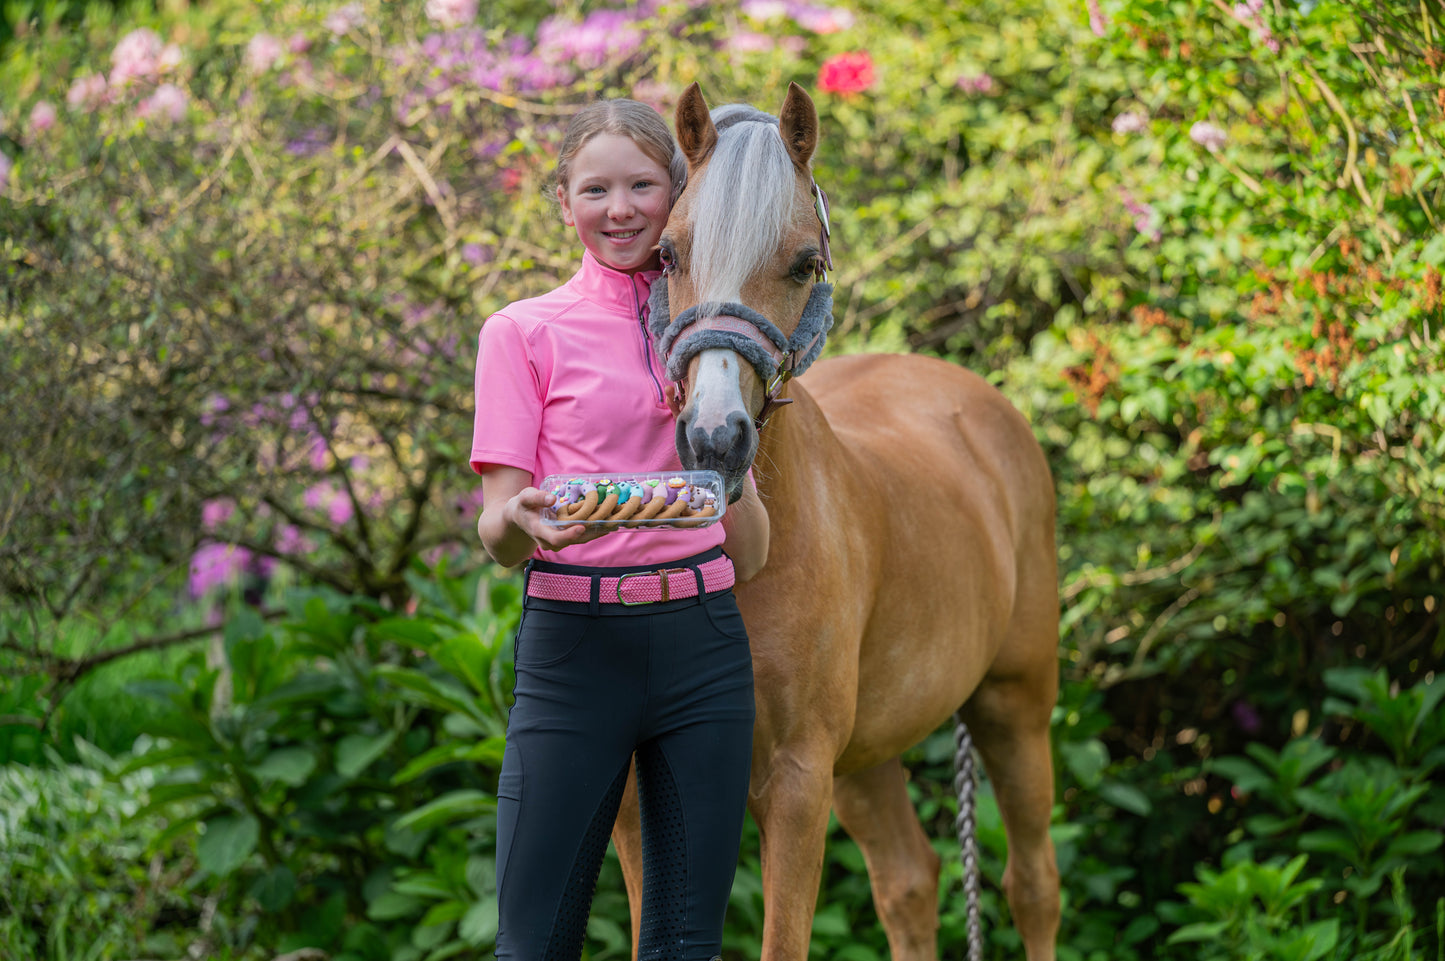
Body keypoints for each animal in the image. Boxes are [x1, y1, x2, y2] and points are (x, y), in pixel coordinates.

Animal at [610, 81, 1062, 961]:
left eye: (803, 263)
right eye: (667, 255)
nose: (713, 439)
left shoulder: (793, 782)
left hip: (1012, 707)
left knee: (1032, 885)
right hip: (863, 760)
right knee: (909, 882)